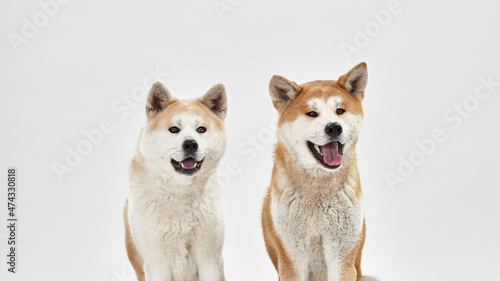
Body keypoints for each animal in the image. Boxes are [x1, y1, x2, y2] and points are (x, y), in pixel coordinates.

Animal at [124, 81, 228, 280]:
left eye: (201, 129)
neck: (180, 194)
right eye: (174, 129)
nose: (191, 144)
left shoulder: (210, 259)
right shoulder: (157, 264)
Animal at [264, 63, 376, 280]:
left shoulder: (342, 256)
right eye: (312, 114)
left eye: (340, 110)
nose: (334, 128)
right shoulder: (292, 259)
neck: (318, 192)